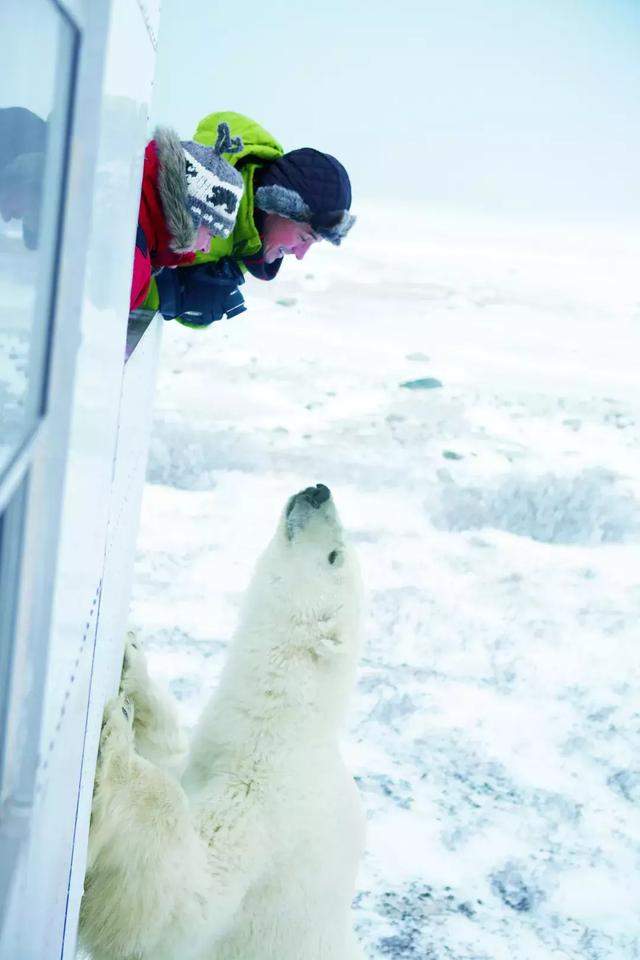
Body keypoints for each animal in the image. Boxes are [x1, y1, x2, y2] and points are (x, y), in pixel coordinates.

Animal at [80, 488, 368, 960]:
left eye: (334, 556)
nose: (318, 491)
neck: (274, 730)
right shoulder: (206, 758)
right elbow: (172, 753)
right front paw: (132, 661)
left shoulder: (263, 812)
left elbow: (190, 901)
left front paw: (117, 750)